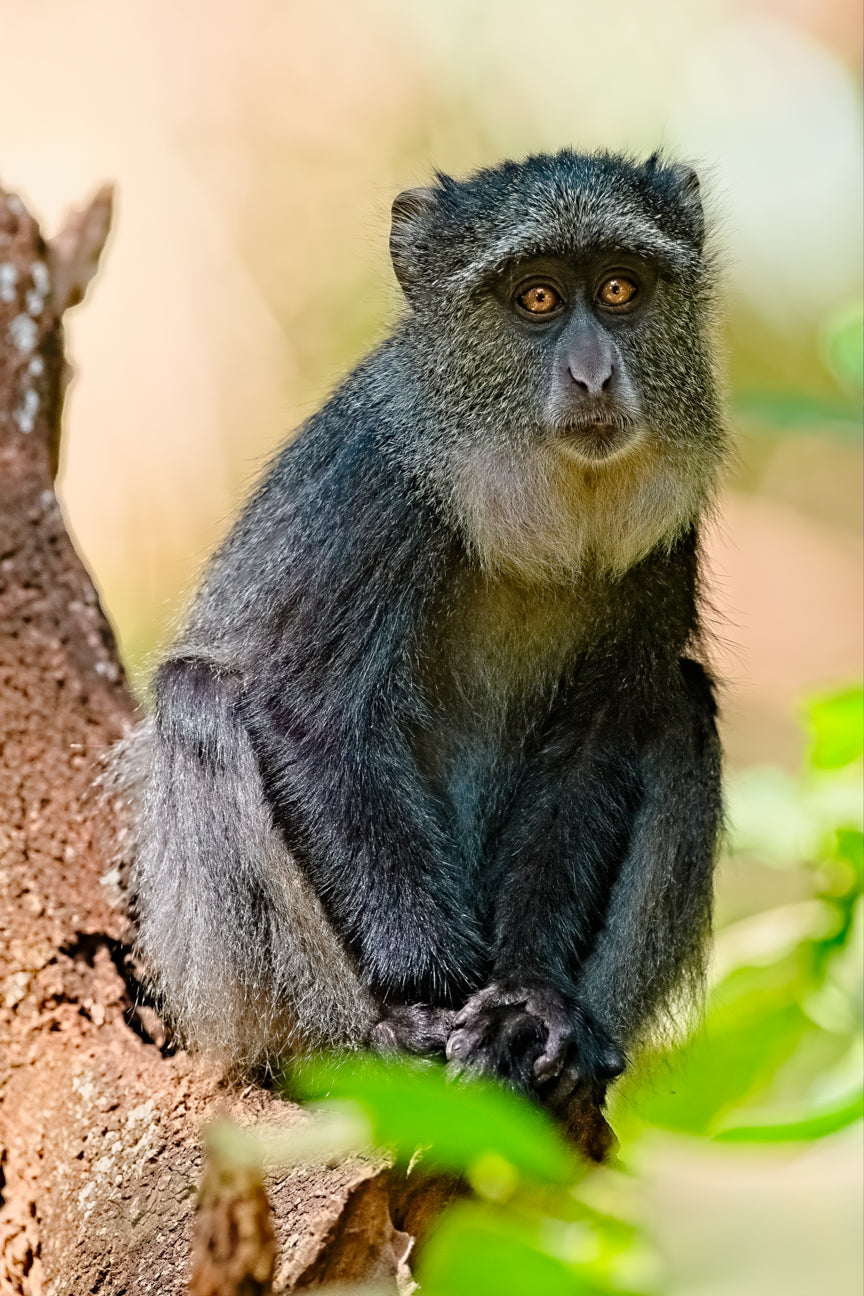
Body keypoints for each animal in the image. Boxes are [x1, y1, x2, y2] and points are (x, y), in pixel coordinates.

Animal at [117, 149, 726, 1118]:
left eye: (620, 289)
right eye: (537, 298)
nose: (595, 375)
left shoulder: (665, 542)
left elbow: (594, 745)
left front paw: (532, 1003)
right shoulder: (377, 485)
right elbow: (313, 718)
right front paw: (431, 998)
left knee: (680, 702)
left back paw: (583, 1042)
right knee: (200, 697)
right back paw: (368, 1044)